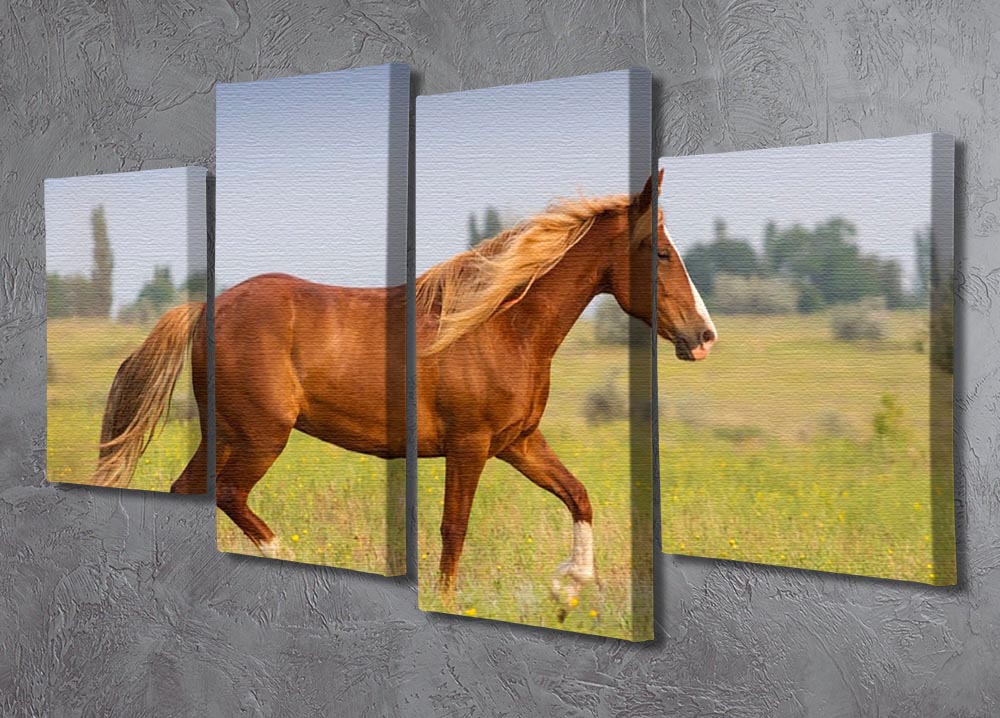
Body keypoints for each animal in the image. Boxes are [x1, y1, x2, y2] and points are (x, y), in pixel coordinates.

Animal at [90, 169, 716, 603]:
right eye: (662, 252)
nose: (704, 336)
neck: (503, 325)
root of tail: (205, 310)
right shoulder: (470, 446)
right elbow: (453, 528)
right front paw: (449, 600)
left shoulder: (518, 442)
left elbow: (579, 494)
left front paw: (568, 586)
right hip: (260, 435)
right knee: (228, 494)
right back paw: (290, 553)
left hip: (223, 432)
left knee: (188, 490)